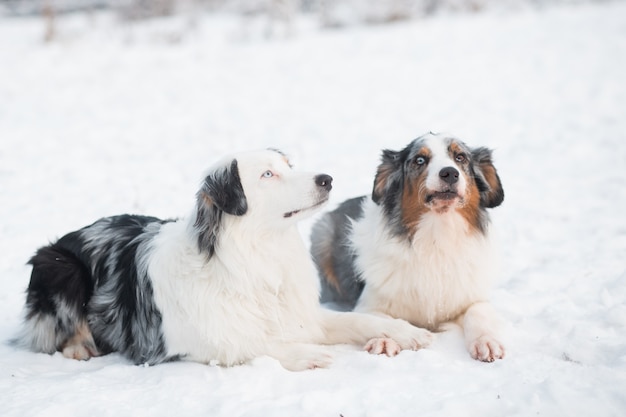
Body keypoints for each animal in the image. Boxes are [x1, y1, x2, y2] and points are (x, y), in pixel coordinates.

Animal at [15, 148, 434, 368]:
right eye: (267, 175)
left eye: (289, 166)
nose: (326, 179)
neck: (258, 257)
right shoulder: (195, 341)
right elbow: (253, 344)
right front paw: (307, 353)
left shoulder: (302, 315)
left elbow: (361, 320)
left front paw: (403, 331)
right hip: (59, 266)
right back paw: (79, 346)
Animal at [310, 133, 504, 360]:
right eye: (419, 160)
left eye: (460, 157)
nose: (450, 173)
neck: (436, 237)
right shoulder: (368, 303)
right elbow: (380, 320)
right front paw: (384, 340)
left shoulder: (473, 296)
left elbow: (478, 312)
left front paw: (487, 342)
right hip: (321, 232)